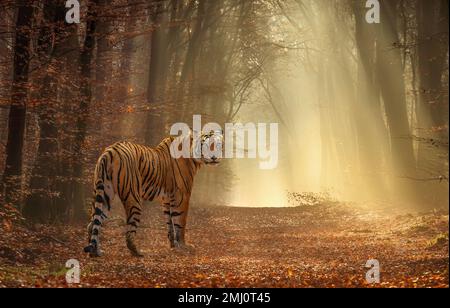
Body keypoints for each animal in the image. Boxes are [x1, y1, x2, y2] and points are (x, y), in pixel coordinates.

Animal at [83, 131, 223, 258]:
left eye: (218, 145)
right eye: (207, 145)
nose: (215, 157)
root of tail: (109, 152)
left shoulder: (167, 199)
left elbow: (170, 223)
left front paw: (173, 245)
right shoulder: (182, 196)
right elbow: (180, 222)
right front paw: (184, 246)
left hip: (104, 194)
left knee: (93, 223)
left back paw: (95, 252)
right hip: (133, 197)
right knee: (129, 231)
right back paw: (137, 252)